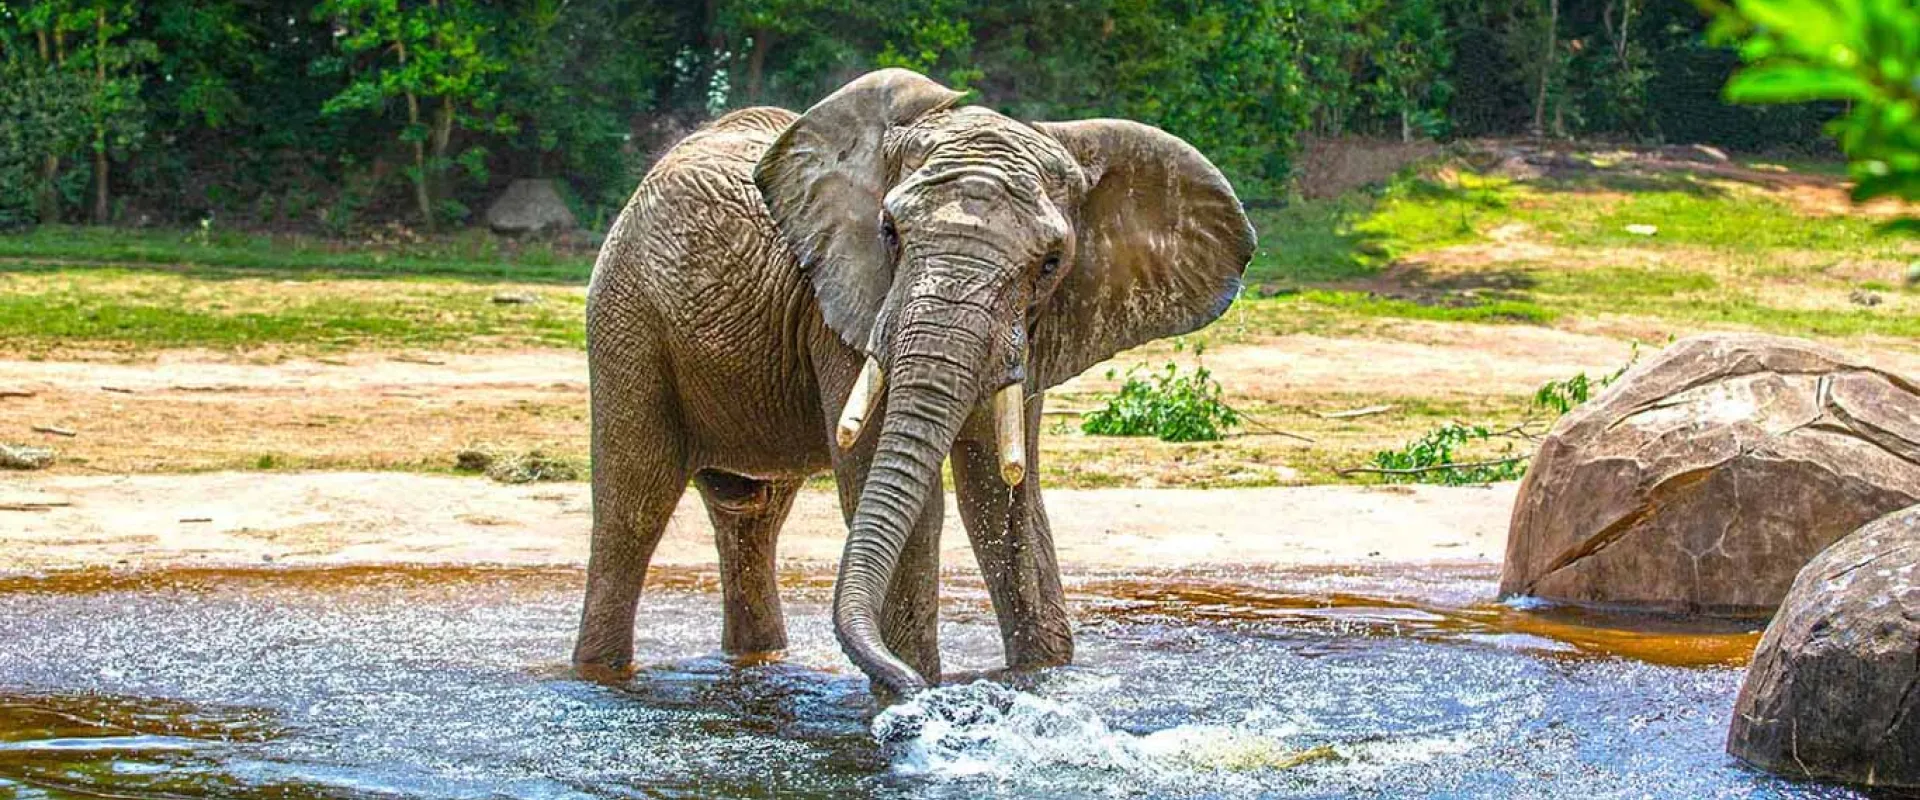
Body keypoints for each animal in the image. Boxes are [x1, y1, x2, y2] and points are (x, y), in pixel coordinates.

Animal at [568, 68, 1259, 694]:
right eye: (889, 232)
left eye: (1051, 263)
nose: (904, 684)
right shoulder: (847, 309)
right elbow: (912, 498)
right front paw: (910, 693)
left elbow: (1007, 500)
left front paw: (1039, 680)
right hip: (627, 312)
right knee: (634, 503)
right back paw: (600, 676)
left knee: (751, 514)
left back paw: (759, 662)